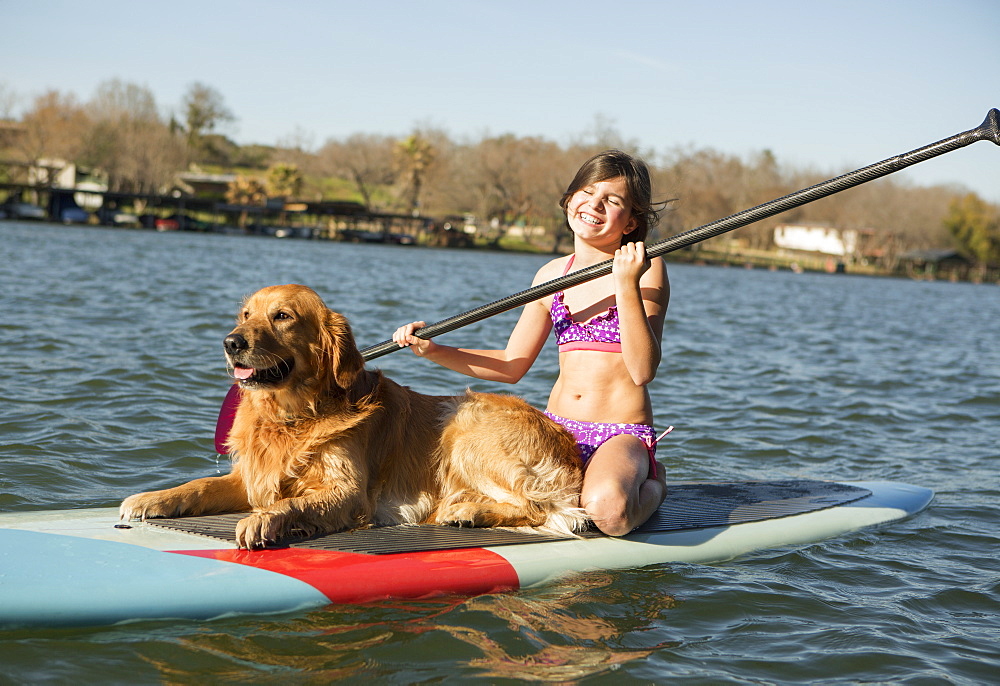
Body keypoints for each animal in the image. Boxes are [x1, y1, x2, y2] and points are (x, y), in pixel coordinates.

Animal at [119, 284, 584, 548]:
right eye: (246, 315)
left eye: (282, 316)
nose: (231, 342)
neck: (295, 415)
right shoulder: (250, 477)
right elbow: (196, 486)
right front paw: (149, 499)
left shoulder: (349, 492)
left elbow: (293, 503)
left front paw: (263, 521)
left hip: (465, 429)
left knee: (544, 508)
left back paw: (470, 511)